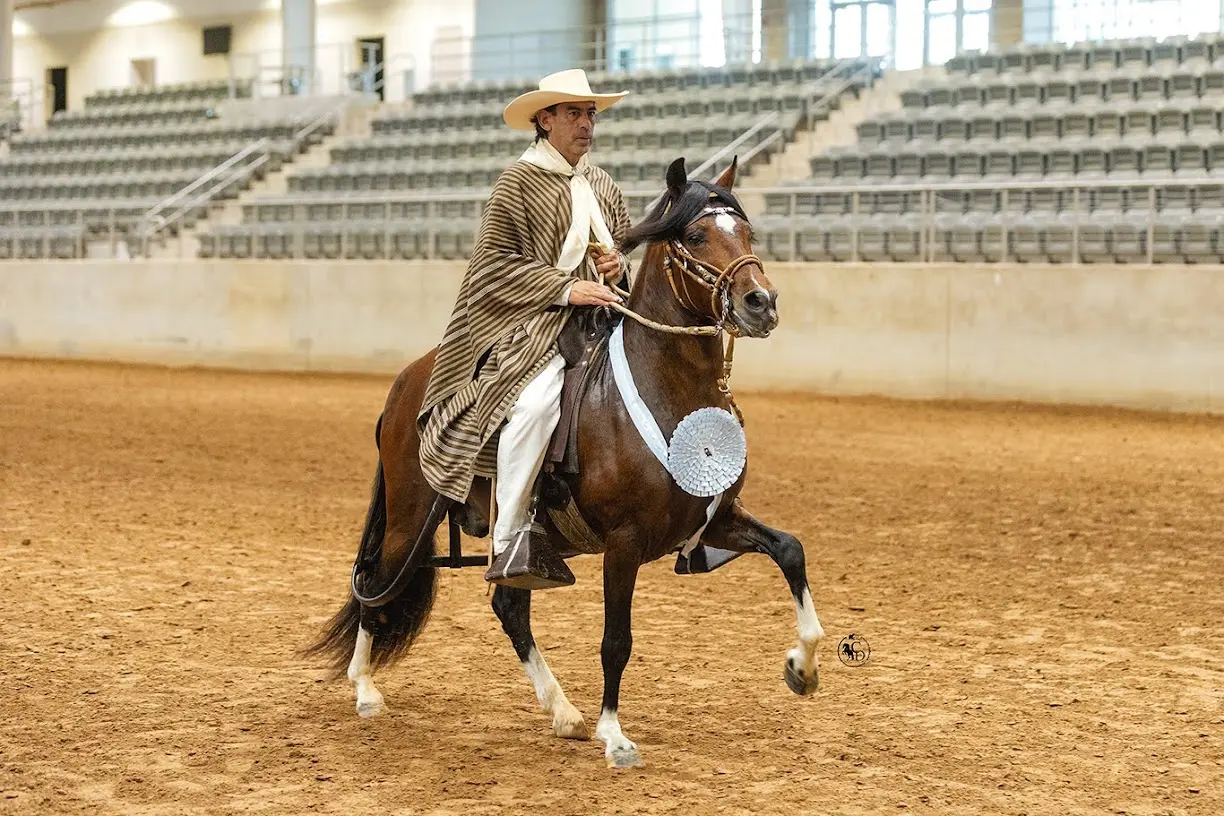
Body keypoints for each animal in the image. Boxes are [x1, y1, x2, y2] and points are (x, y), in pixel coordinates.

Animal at [307, 156, 827, 769]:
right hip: (410, 518)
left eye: (747, 233)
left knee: (507, 603)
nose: (760, 303)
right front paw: (615, 736)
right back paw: (365, 689)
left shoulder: (716, 519)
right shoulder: (624, 544)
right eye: (697, 237)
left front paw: (802, 668)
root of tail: (405, 384)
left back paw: (563, 713)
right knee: (380, 582)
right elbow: (616, 640)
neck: (665, 391)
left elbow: (790, 550)